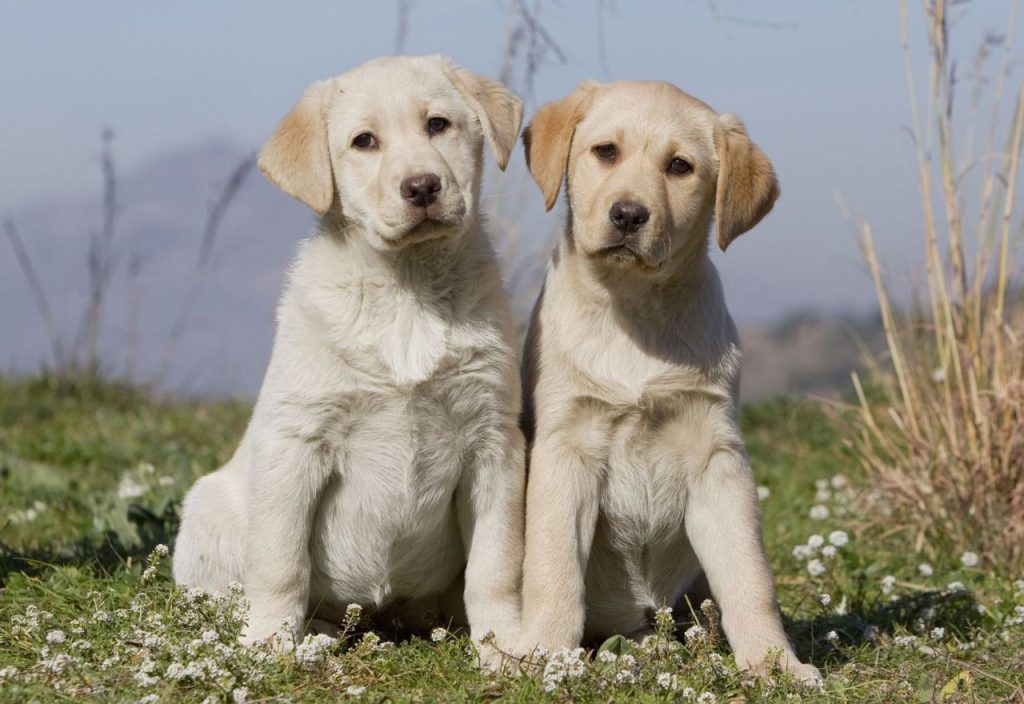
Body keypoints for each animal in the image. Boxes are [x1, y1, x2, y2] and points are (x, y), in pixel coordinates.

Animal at [173, 55, 524, 667]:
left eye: (438, 125)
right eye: (365, 141)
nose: (422, 186)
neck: (407, 290)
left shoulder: (494, 446)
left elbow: (494, 565)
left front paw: (502, 647)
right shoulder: (297, 441)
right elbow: (281, 560)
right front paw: (269, 642)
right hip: (206, 512)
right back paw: (307, 630)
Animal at [516, 79, 819, 683]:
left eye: (679, 166)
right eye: (605, 152)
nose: (629, 214)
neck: (634, 310)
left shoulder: (717, 457)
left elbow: (750, 577)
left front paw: (774, 664)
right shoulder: (566, 448)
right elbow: (553, 566)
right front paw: (542, 651)